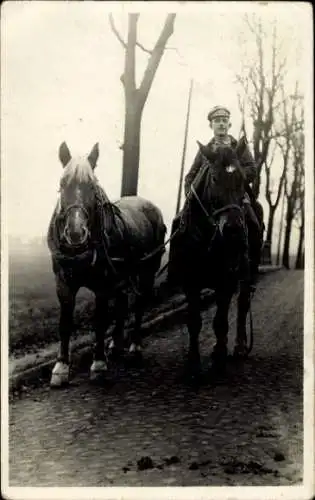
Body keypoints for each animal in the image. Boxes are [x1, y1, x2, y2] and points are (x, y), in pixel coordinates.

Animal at [47, 141, 167, 386]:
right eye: (62, 184)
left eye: (92, 186)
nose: (76, 233)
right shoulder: (63, 283)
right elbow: (65, 323)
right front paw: (61, 367)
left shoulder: (102, 285)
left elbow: (100, 320)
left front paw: (99, 364)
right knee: (122, 302)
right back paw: (116, 344)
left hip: (147, 271)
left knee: (139, 304)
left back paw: (134, 347)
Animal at [168, 137, 264, 378]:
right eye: (213, 178)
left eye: (242, 178)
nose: (233, 229)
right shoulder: (190, 283)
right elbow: (194, 321)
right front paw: (193, 363)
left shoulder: (226, 281)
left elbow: (220, 321)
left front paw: (219, 359)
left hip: (248, 273)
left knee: (242, 304)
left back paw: (239, 346)